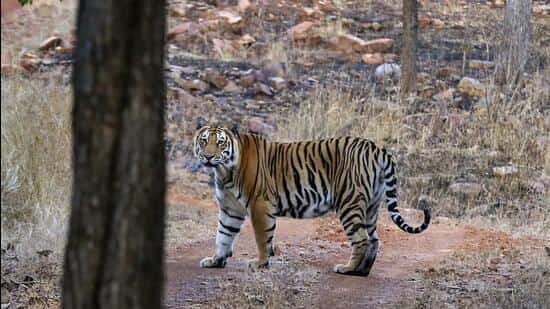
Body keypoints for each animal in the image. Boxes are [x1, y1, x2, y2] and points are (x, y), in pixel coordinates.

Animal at [194, 122, 432, 274]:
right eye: (204, 141)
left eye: (221, 143)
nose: (207, 156)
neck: (224, 171)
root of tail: (376, 148)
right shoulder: (230, 208)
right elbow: (223, 235)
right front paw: (216, 260)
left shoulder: (260, 205)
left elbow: (262, 238)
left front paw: (260, 263)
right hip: (371, 206)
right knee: (374, 239)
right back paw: (362, 271)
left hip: (349, 202)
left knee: (362, 239)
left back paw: (347, 269)